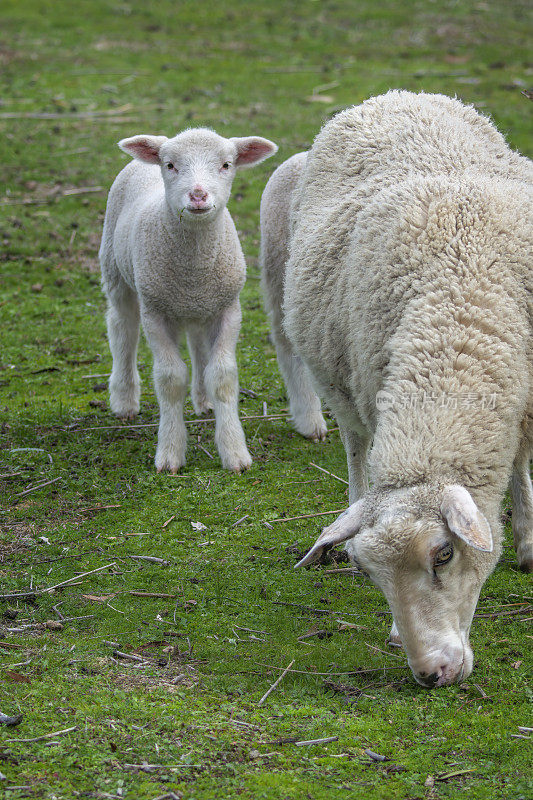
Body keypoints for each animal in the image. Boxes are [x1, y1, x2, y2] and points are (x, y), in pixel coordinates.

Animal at [98, 128, 278, 472]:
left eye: (226, 164)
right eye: (170, 165)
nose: (197, 196)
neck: (193, 268)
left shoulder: (228, 308)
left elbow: (222, 375)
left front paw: (234, 452)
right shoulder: (155, 312)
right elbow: (170, 379)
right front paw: (170, 453)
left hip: (199, 306)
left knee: (196, 343)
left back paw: (204, 400)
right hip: (116, 273)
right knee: (122, 330)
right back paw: (124, 400)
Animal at [262, 89, 532, 688]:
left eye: (443, 555)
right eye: (372, 574)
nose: (431, 672)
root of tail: (395, 97)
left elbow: (524, 466)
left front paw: (529, 543)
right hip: (344, 383)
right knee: (356, 452)